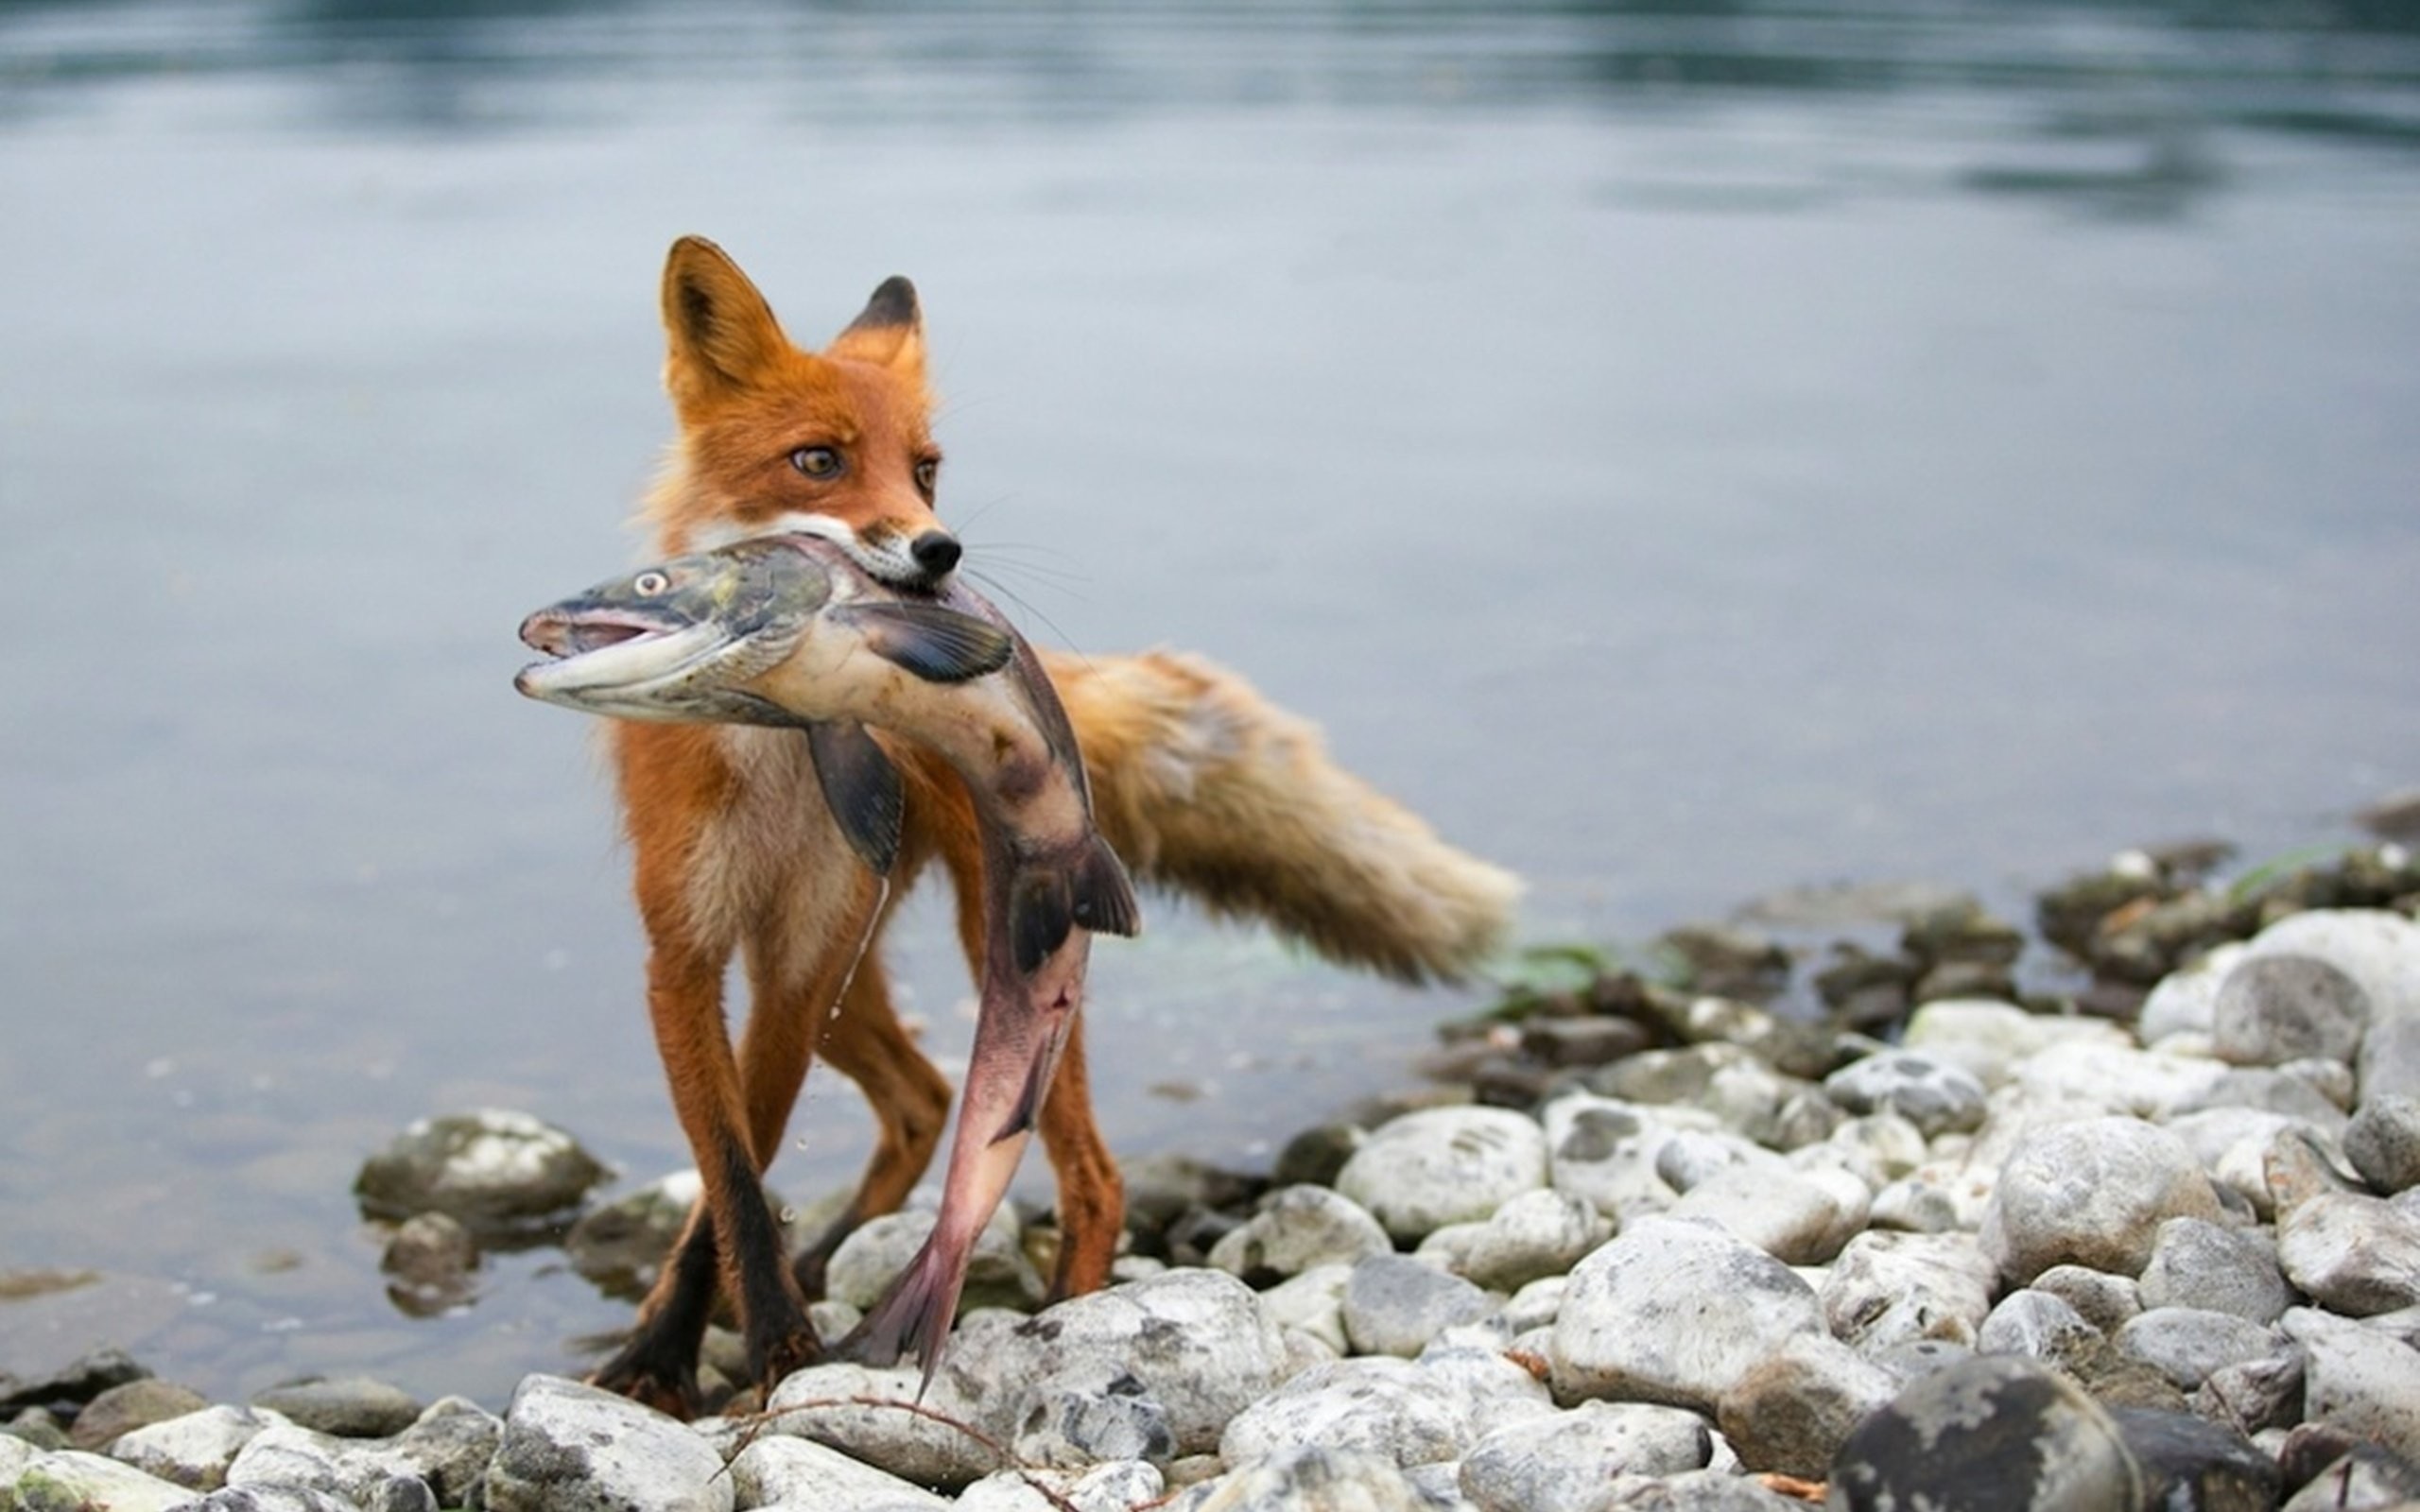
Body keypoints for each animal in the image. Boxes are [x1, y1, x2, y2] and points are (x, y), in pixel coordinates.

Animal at [583, 234, 1523, 1417]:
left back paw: (1068, 1318)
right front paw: (684, 1348)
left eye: (925, 468)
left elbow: (729, 1182)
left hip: (996, 958)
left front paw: (768, 1353)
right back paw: (838, 1260)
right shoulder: (690, 955)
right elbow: (733, 1174)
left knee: (1087, 1173)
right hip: (856, 977)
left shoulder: (792, 965)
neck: (775, 757)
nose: (938, 552)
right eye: (818, 460)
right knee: (921, 1099)